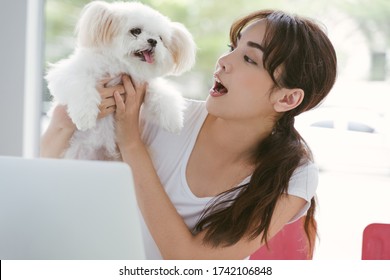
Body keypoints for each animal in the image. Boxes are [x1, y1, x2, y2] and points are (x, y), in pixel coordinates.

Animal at [45, 0, 195, 160]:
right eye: (136, 31)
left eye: (160, 38)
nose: (153, 41)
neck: (120, 67)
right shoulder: (67, 74)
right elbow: (82, 87)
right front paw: (85, 117)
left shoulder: (144, 83)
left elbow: (162, 94)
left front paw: (174, 120)